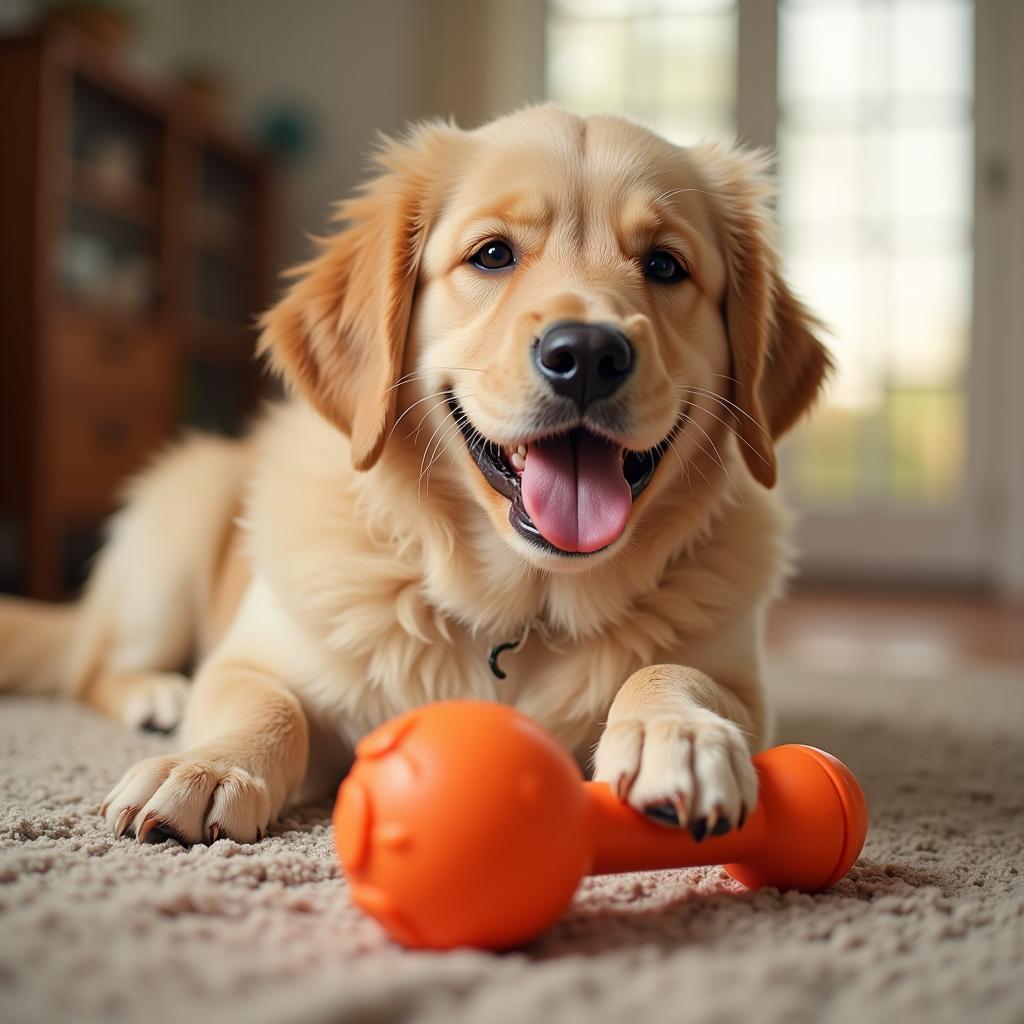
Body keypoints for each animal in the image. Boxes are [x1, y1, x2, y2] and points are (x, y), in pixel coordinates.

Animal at [0, 108, 827, 847]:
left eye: (664, 265)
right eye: (492, 255)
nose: (588, 354)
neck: (521, 610)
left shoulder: (743, 683)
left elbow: (675, 670)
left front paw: (674, 732)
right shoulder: (255, 658)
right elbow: (267, 705)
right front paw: (207, 768)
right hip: (178, 526)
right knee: (93, 668)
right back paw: (157, 694)